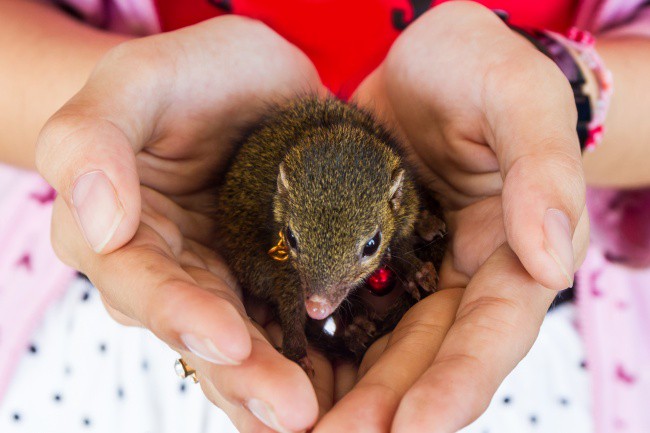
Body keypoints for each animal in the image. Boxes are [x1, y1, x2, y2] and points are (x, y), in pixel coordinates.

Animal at [213, 97, 446, 372]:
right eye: (291, 238)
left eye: (372, 244)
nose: (316, 307)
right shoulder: (281, 264)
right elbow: (289, 302)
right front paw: (296, 349)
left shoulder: (405, 204)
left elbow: (402, 243)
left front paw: (415, 271)